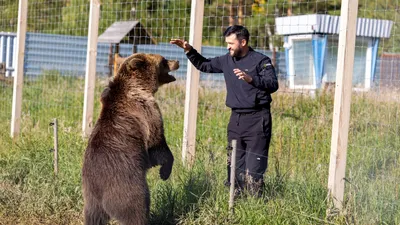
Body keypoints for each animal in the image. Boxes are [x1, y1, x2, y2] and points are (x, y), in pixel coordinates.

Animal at [81, 53, 178, 225]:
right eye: (164, 60)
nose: (177, 61)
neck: (139, 85)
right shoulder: (147, 111)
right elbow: (157, 143)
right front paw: (164, 172)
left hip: (90, 199)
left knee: (93, 217)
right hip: (127, 187)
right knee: (137, 210)